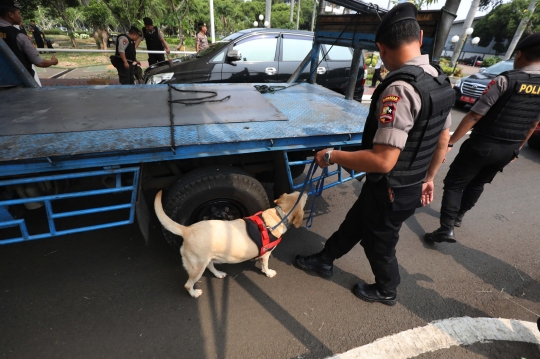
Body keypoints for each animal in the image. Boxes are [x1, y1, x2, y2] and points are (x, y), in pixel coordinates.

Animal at [156, 191, 308, 298]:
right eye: (303, 197)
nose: (307, 191)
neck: (278, 215)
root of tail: (187, 229)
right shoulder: (265, 253)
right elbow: (265, 265)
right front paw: (268, 272)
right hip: (197, 267)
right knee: (188, 285)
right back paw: (194, 293)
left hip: (206, 259)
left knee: (210, 266)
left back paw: (218, 274)